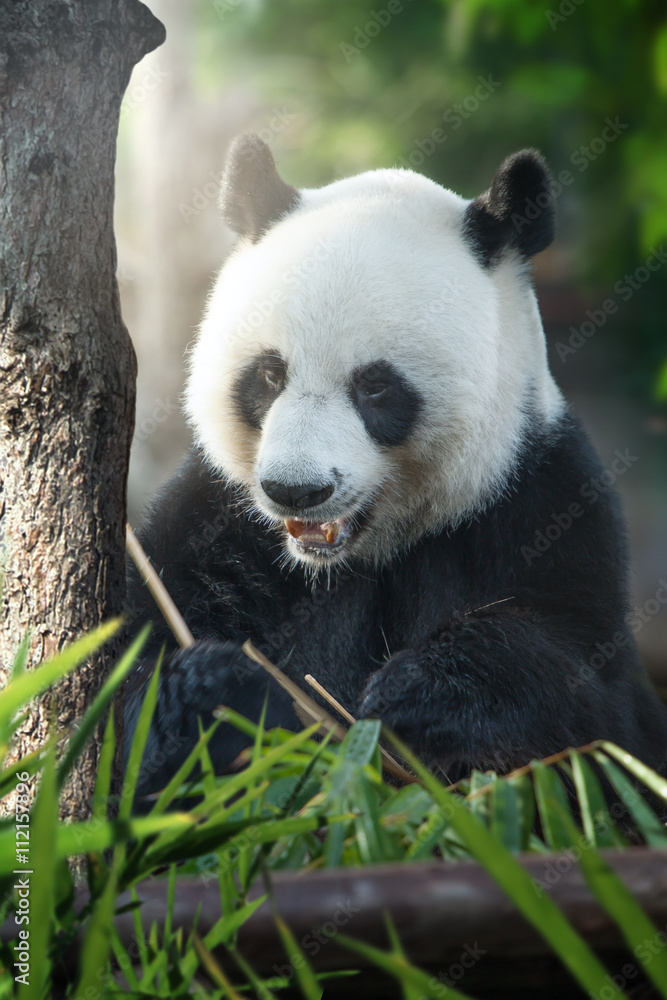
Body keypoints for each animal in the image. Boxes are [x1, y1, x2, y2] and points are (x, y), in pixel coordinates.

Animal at [125, 133, 667, 797]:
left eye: (376, 387)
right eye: (271, 375)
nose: (295, 491)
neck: (362, 554)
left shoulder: (540, 504)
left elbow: (596, 720)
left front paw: (416, 693)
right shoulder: (220, 521)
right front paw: (213, 690)